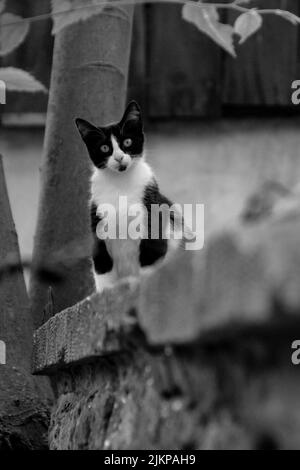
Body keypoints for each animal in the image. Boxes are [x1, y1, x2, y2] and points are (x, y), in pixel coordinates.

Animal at [75, 101, 183, 292]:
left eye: (127, 141)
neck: (121, 185)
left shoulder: (152, 219)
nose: (119, 157)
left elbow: (150, 261)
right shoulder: (97, 222)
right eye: (104, 148)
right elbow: (102, 268)